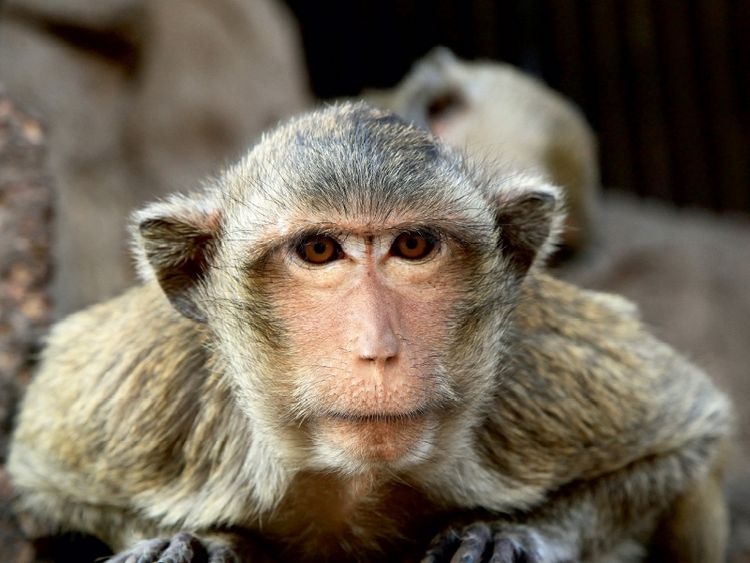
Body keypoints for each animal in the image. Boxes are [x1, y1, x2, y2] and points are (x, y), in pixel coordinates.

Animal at [7, 103, 731, 562]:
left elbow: (684, 435)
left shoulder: (532, 376)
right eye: (319, 250)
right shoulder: (141, 399)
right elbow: (42, 481)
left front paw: (515, 534)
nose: (378, 349)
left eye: (413, 245)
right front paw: (198, 541)